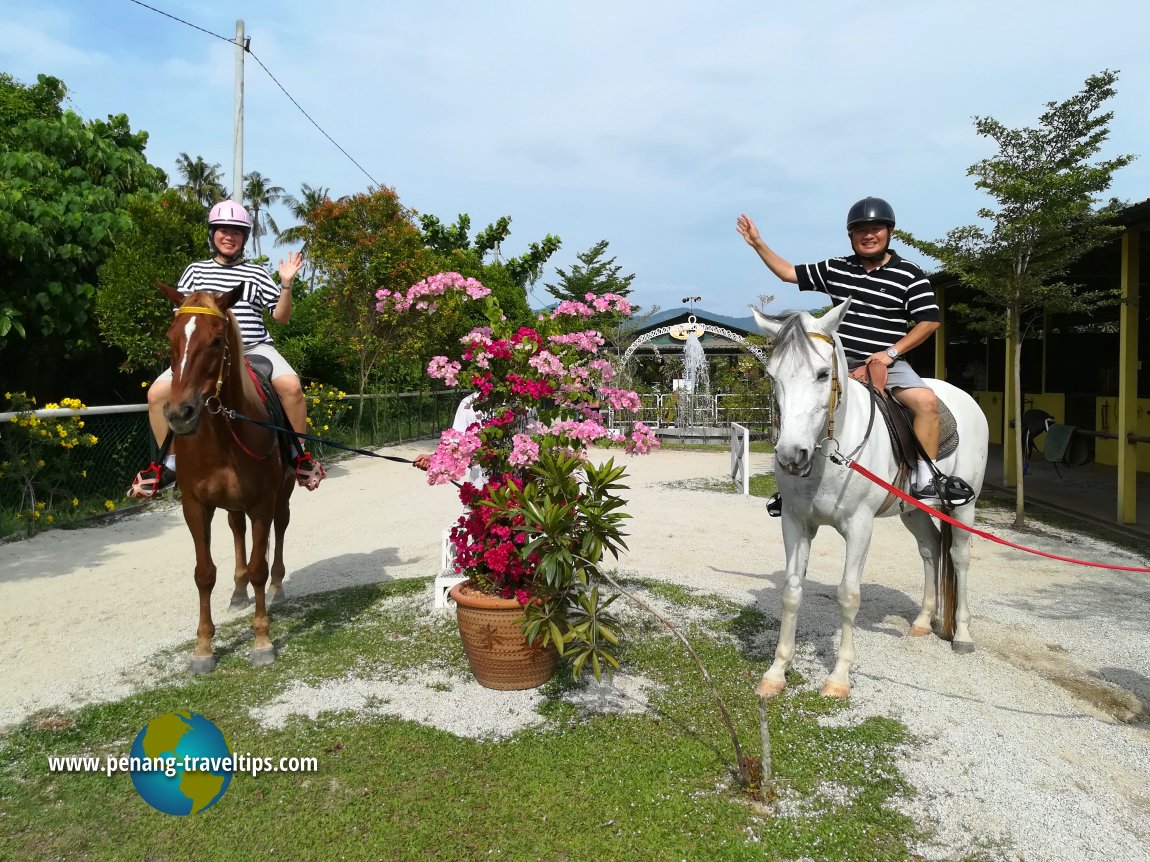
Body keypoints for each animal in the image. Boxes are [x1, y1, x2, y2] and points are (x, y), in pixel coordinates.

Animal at [159, 283, 294, 675]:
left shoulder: (263, 502)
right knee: (237, 530)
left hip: (283, 493)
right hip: (233, 504)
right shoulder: (195, 505)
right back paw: (237, 591)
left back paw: (277, 587)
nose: (180, 413)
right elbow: (204, 573)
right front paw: (202, 648)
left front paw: (262, 641)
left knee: (280, 528)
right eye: (171, 337)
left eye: (217, 340)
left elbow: (259, 567)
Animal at [754, 303, 989, 703]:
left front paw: (838, 679)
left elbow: (848, 595)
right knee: (930, 549)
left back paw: (962, 635)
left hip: (963, 507)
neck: (830, 454)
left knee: (959, 558)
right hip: (913, 509)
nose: (790, 456)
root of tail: (967, 399)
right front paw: (776, 672)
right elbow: (791, 591)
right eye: (772, 375)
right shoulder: (795, 522)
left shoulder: (859, 526)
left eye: (823, 374)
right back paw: (923, 621)